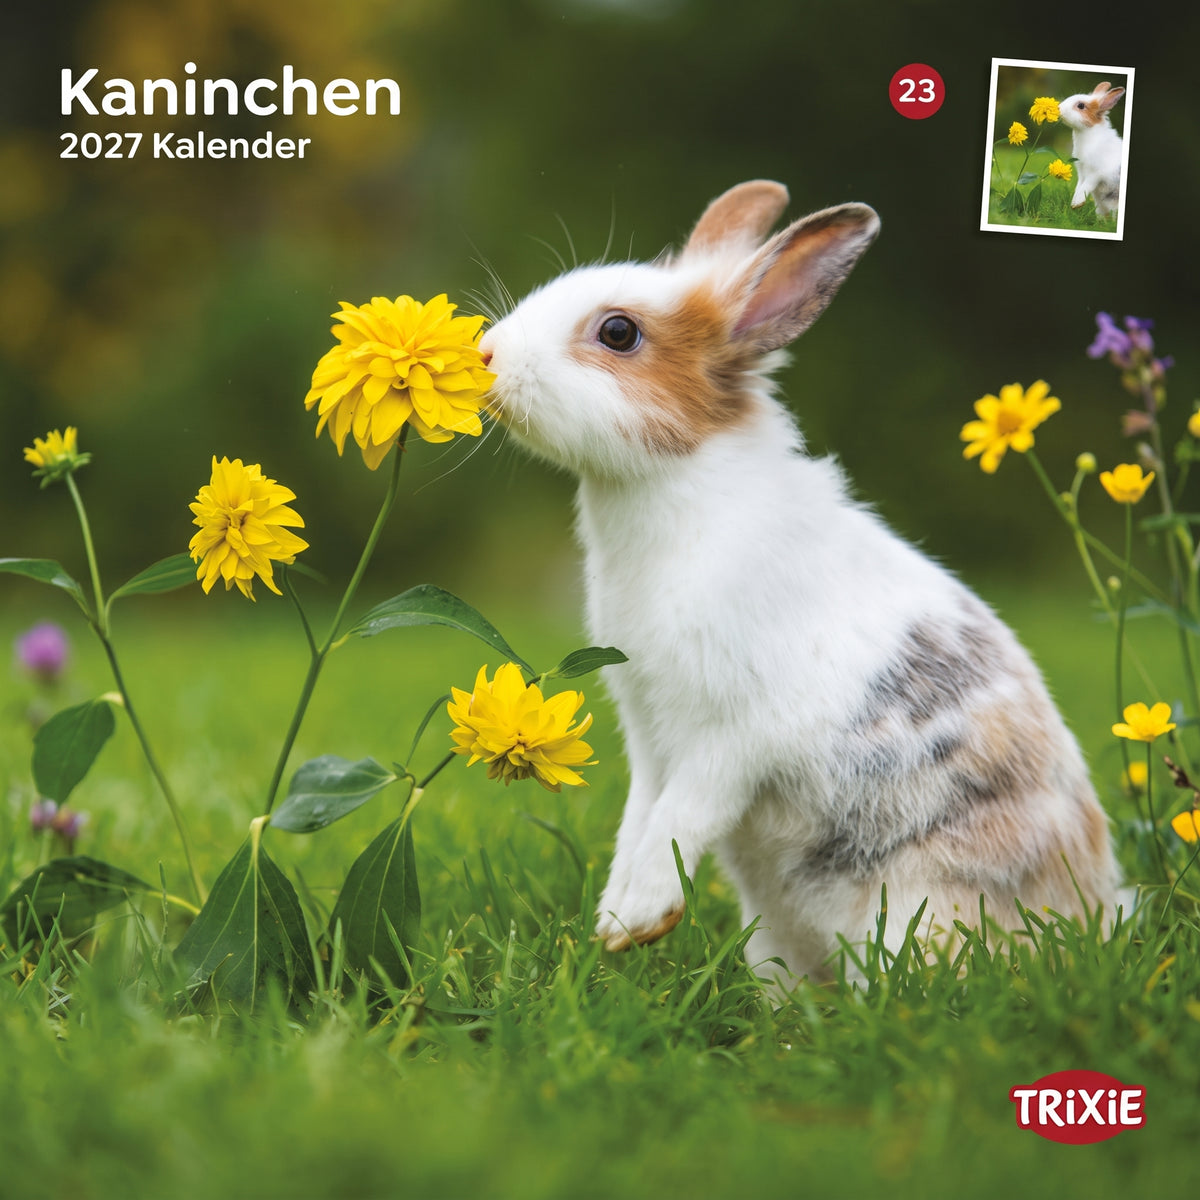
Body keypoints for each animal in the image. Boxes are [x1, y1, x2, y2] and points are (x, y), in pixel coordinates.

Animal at [478, 180, 1119, 983]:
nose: (486, 354)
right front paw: (614, 921)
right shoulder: (649, 734)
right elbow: (641, 817)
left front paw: (636, 919)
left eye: (618, 333)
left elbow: (681, 817)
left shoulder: (731, 735)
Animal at [1058, 82, 1126, 219]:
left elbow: (1086, 185)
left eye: (1081, 106)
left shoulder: (1097, 173)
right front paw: (1074, 203)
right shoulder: (1081, 173)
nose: (1059, 108)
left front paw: (1077, 203)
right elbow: (1079, 186)